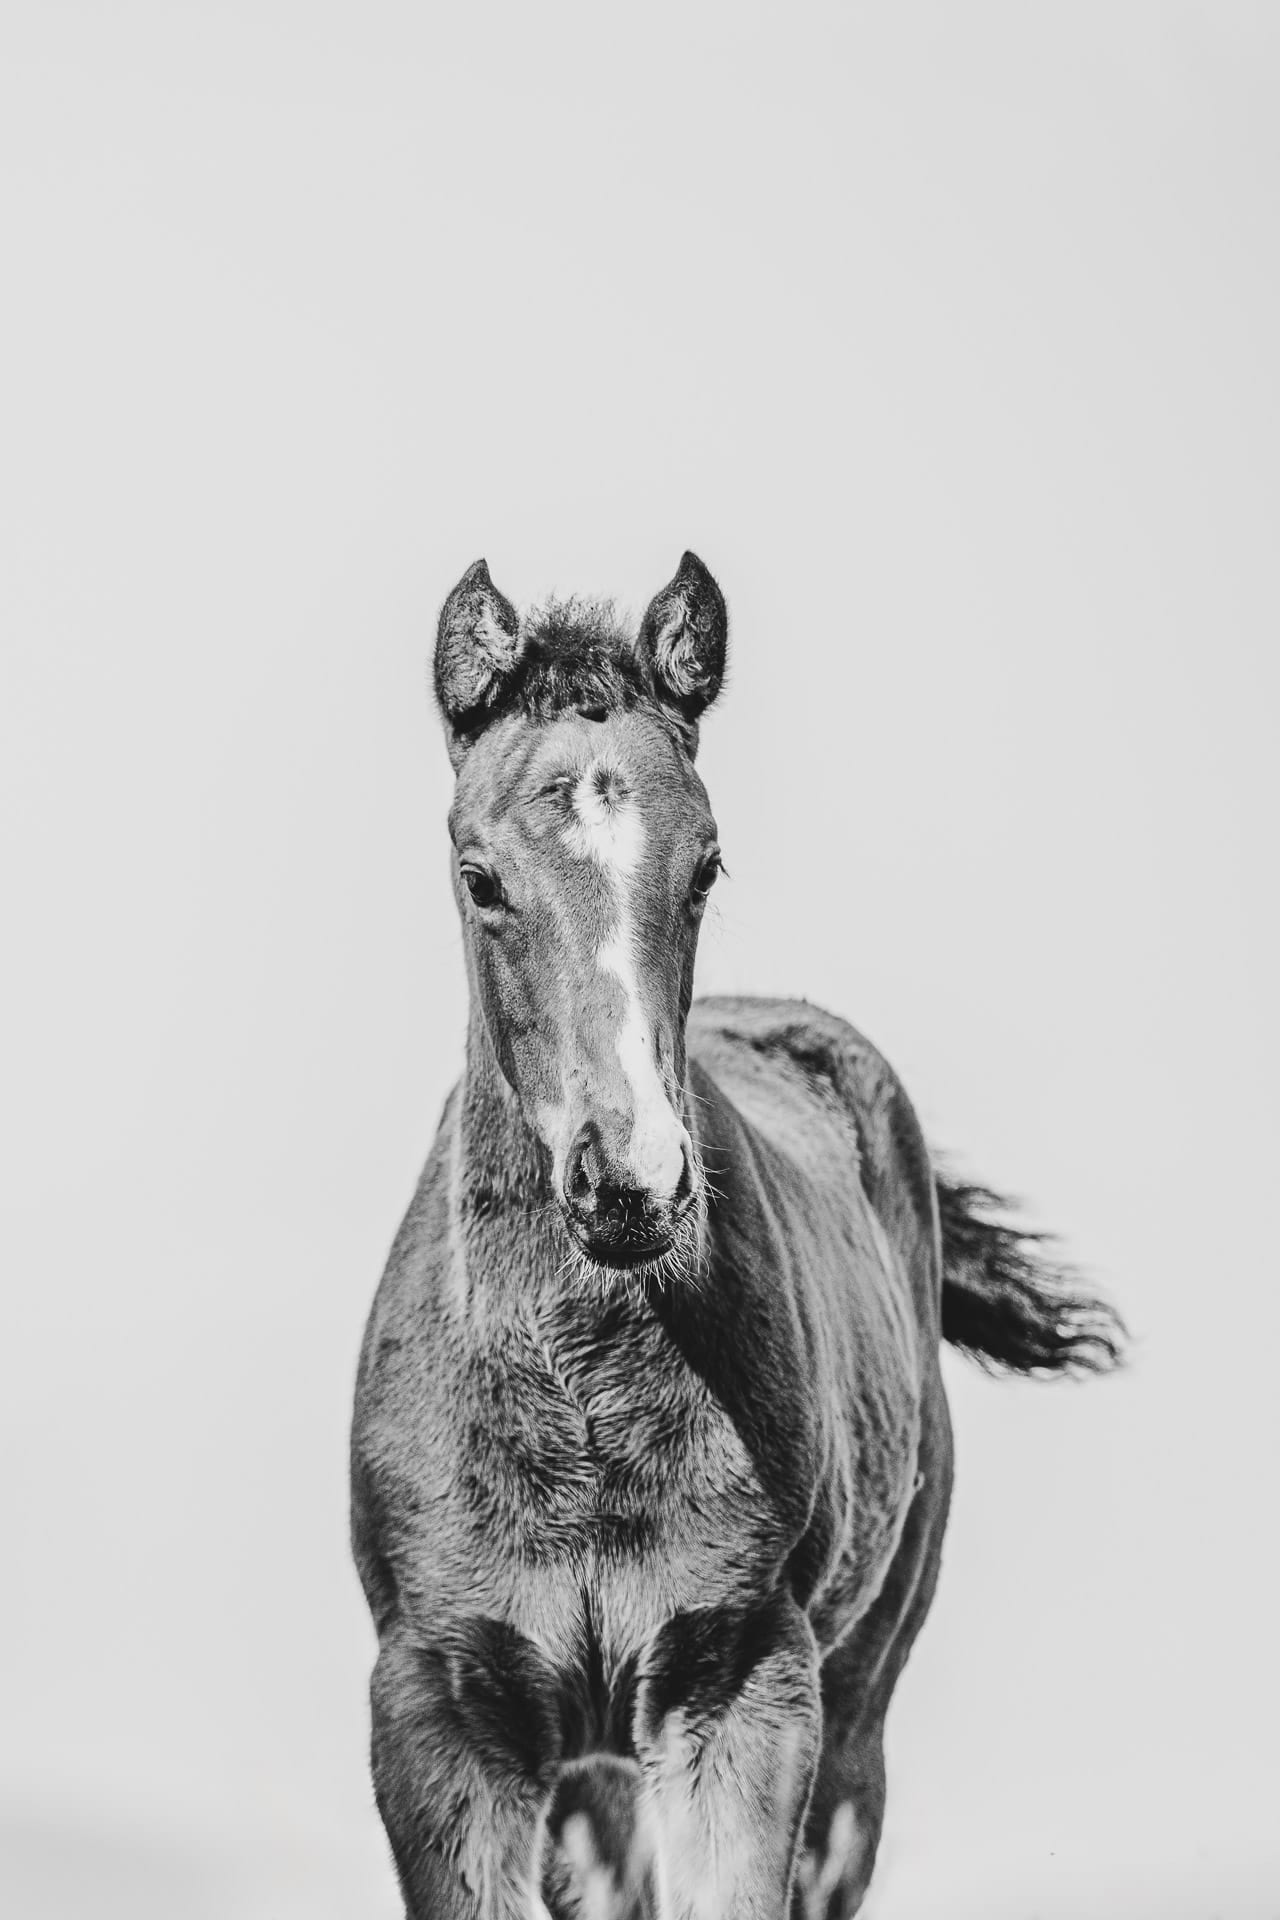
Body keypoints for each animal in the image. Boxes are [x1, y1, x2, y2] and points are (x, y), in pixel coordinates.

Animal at [350, 552, 1124, 1920]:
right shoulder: (436, 1706)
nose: (631, 1183)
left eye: (704, 866)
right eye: (479, 877)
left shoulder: (740, 1686)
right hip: (593, 1777)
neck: (578, 1402)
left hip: (853, 1712)